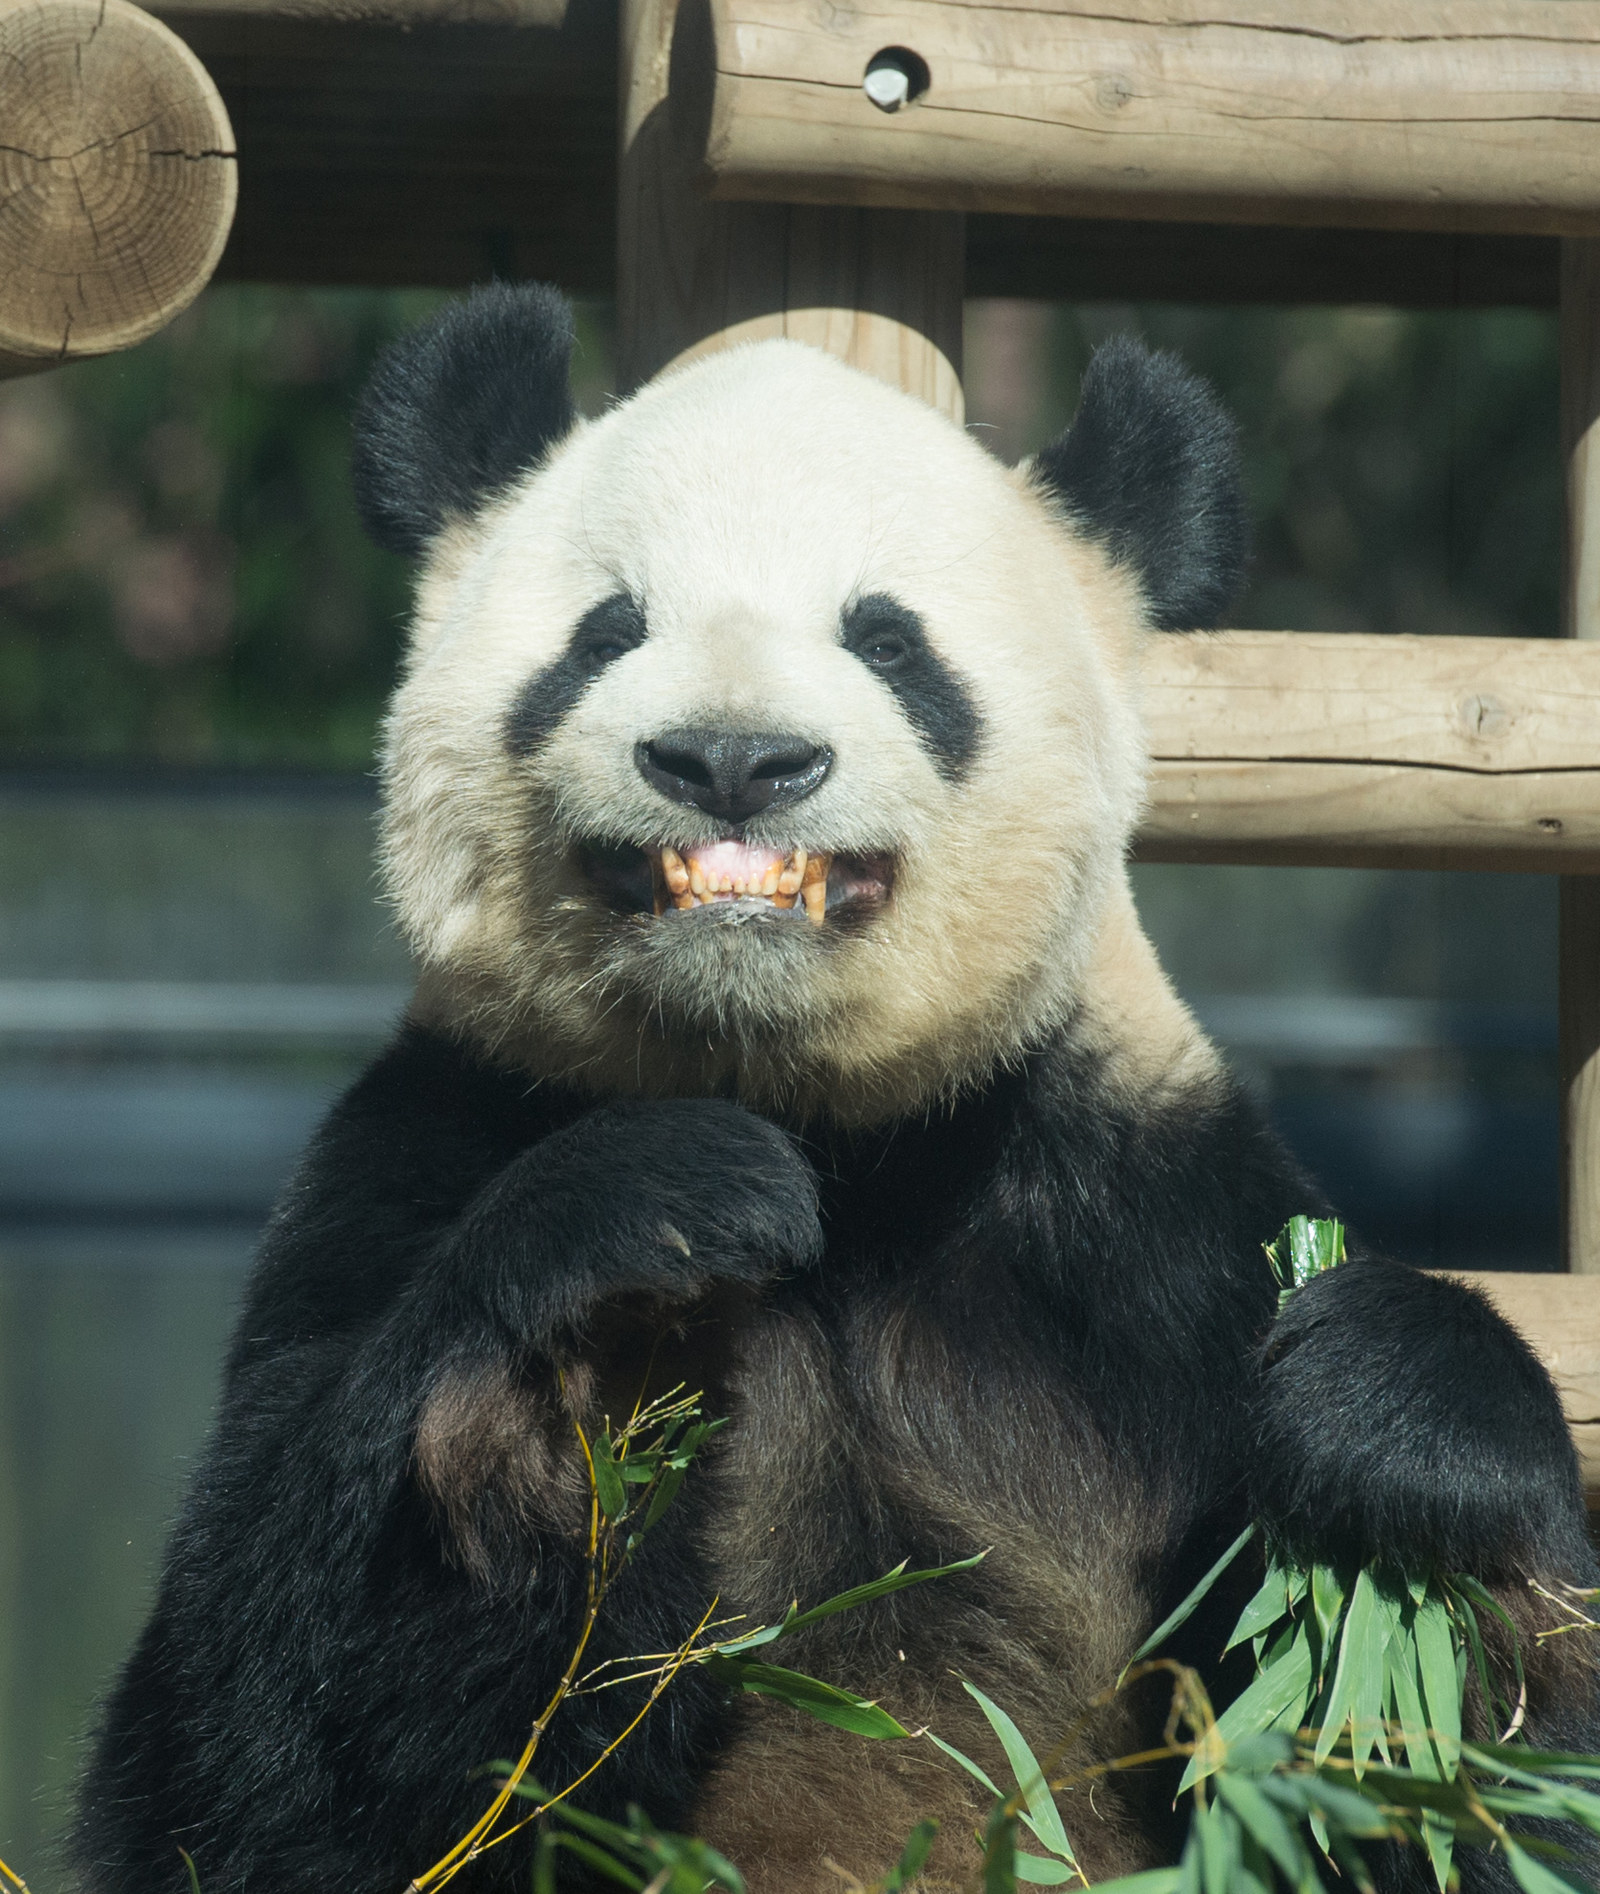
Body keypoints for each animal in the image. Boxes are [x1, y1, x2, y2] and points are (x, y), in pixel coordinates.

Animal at [74, 284, 1598, 1894]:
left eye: (888, 641)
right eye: (605, 632)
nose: (732, 759)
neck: (833, 1127)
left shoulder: (1150, 1233)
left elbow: (1451, 1779)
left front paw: (1401, 1449)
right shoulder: (423, 1145)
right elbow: (250, 1753)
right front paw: (631, 1297)